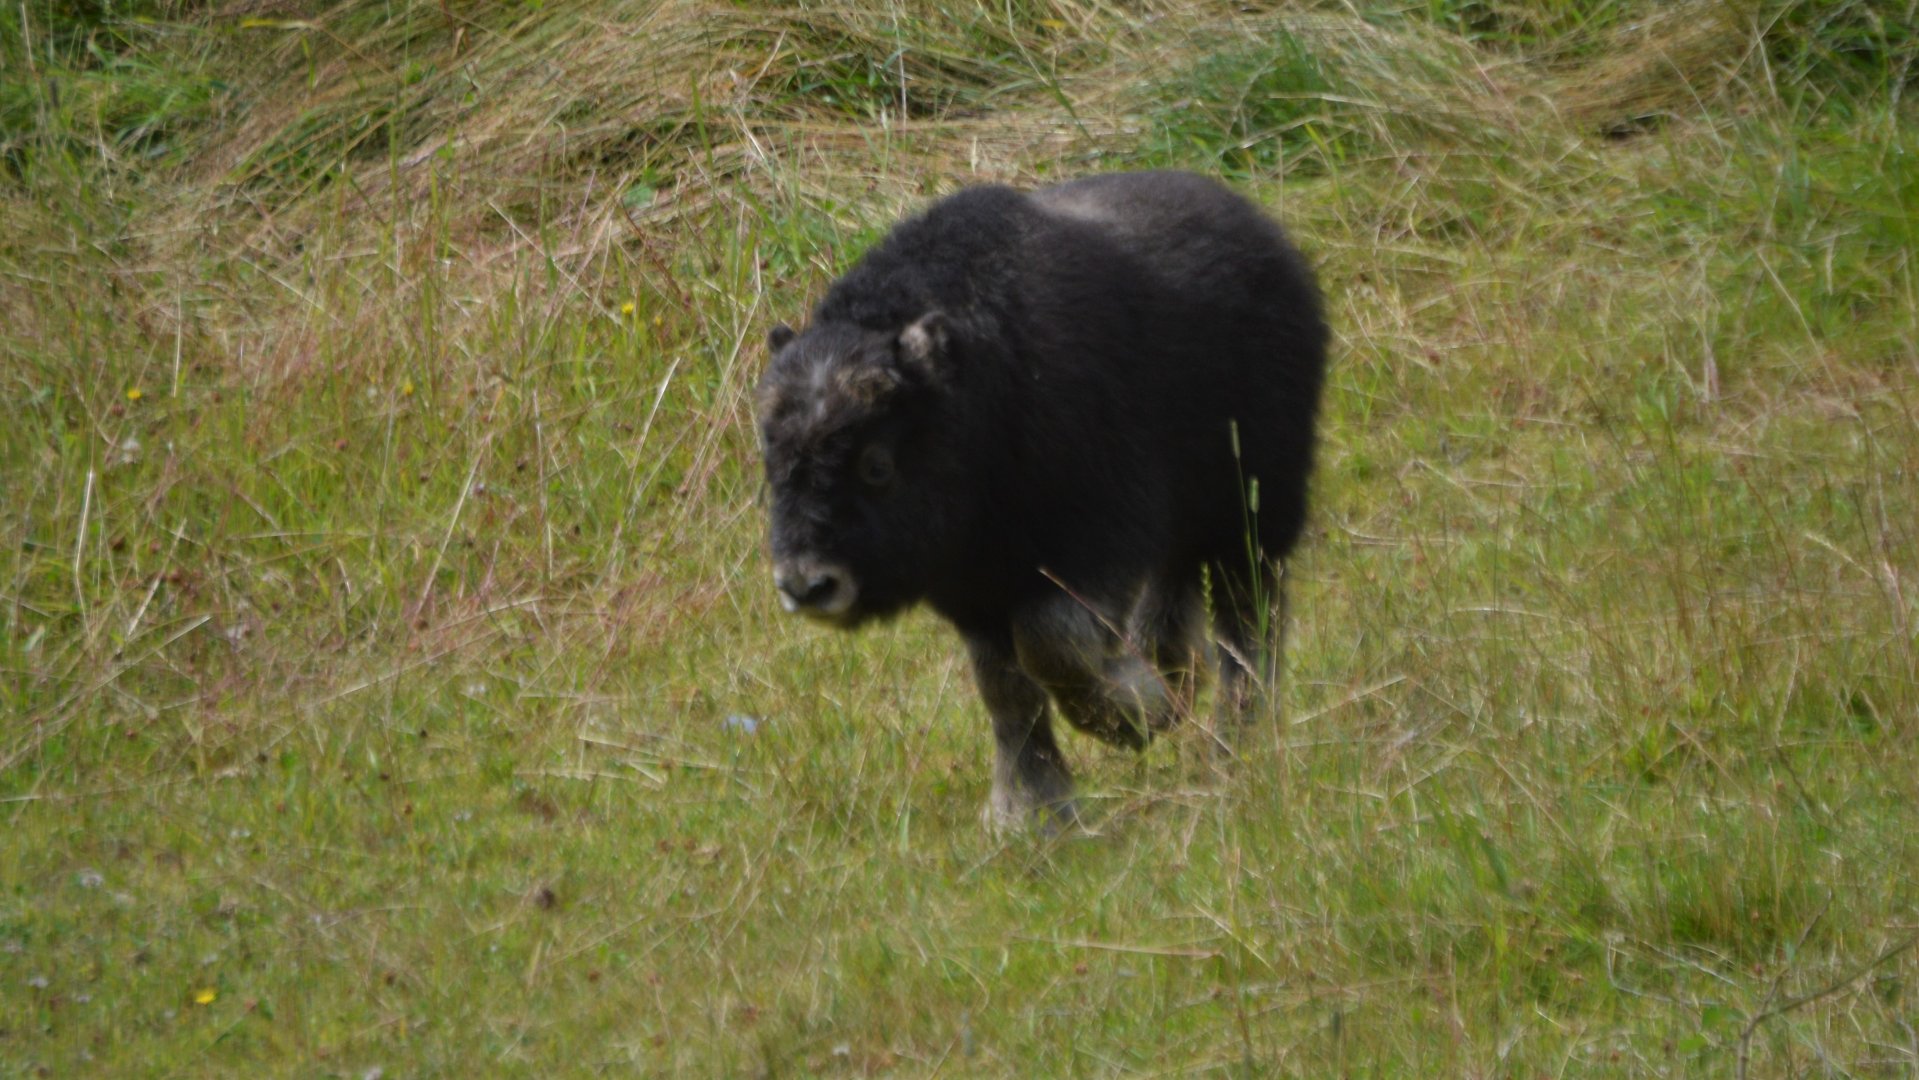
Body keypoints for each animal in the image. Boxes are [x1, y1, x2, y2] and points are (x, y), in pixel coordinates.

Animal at [755, 170, 1328, 831]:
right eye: (771, 460)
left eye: (876, 464)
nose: (807, 586)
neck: (984, 392)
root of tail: (1258, 228)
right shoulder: (976, 589)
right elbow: (1005, 688)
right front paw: (1031, 813)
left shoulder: (1091, 542)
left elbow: (1051, 646)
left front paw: (1136, 715)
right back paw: (1175, 682)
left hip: (1254, 509)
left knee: (1248, 620)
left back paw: (1235, 748)